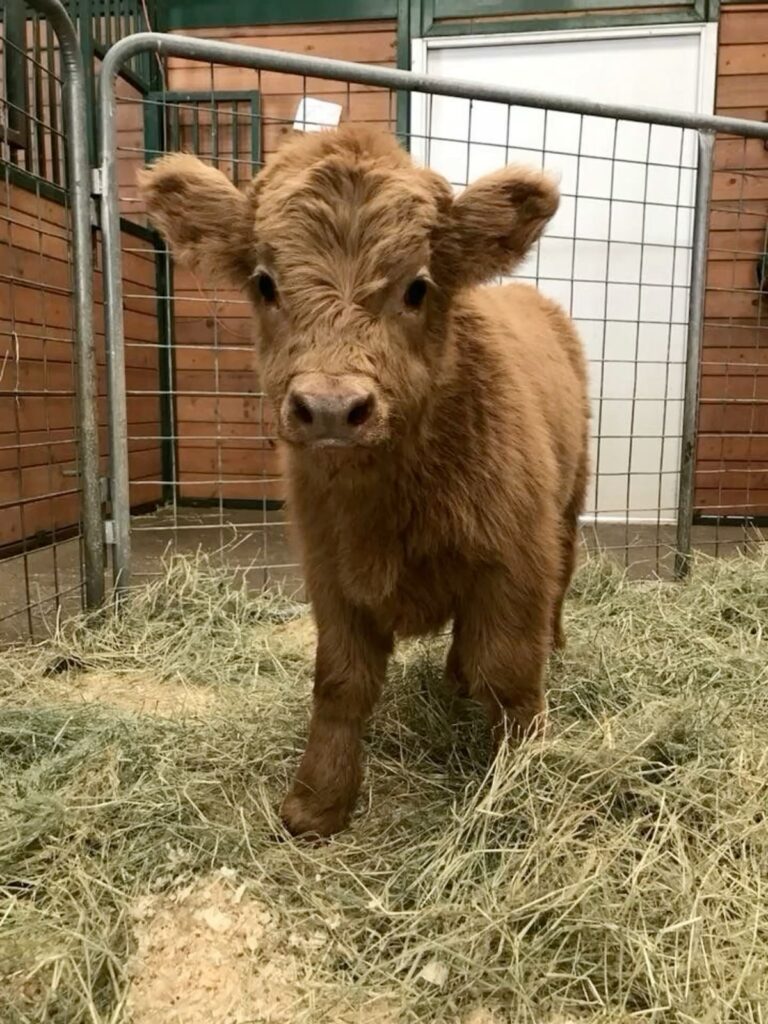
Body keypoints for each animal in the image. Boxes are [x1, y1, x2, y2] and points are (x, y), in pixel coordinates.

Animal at [138, 124, 590, 838]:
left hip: (569, 507)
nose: (330, 407)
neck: (384, 502)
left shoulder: (516, 556)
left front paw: (521, 783)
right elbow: (340, 682)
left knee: (560, 587)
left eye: (418, 287)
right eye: (264, 283)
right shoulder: (330, 570)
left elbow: (510, 671)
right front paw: (317, 801)